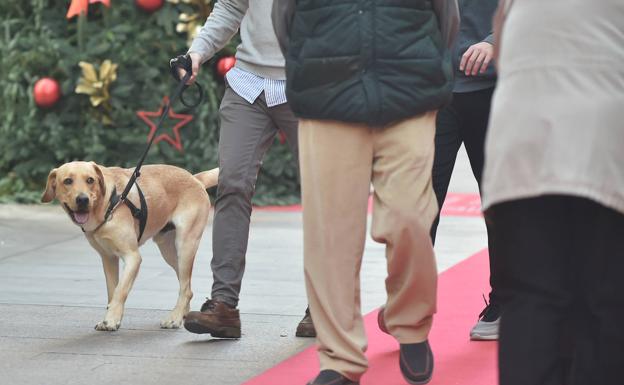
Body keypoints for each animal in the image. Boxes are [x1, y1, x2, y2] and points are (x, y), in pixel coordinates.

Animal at [41, 160, 217, 332]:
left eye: (90, 180)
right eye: (67, 181)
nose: (83, 200)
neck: (109, 204)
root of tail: (195, 179)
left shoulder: (133, 257)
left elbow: (120, 290)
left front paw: (111, 320)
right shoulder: (108, 258)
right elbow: (112, 291)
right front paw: (111, 317)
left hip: (185, 245)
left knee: (185, 289)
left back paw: (174, 318)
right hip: (170, 253)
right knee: (186, 286)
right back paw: (181, 315)